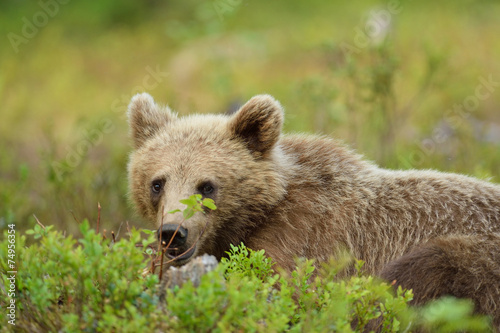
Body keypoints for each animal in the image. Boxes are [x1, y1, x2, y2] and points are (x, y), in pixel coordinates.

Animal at [128, 92, 500, 326]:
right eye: (157, 183)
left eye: (206, 186)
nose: (173, 233)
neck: (256, 216)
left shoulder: (302, 238)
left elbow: (286, 290)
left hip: (474, 259)